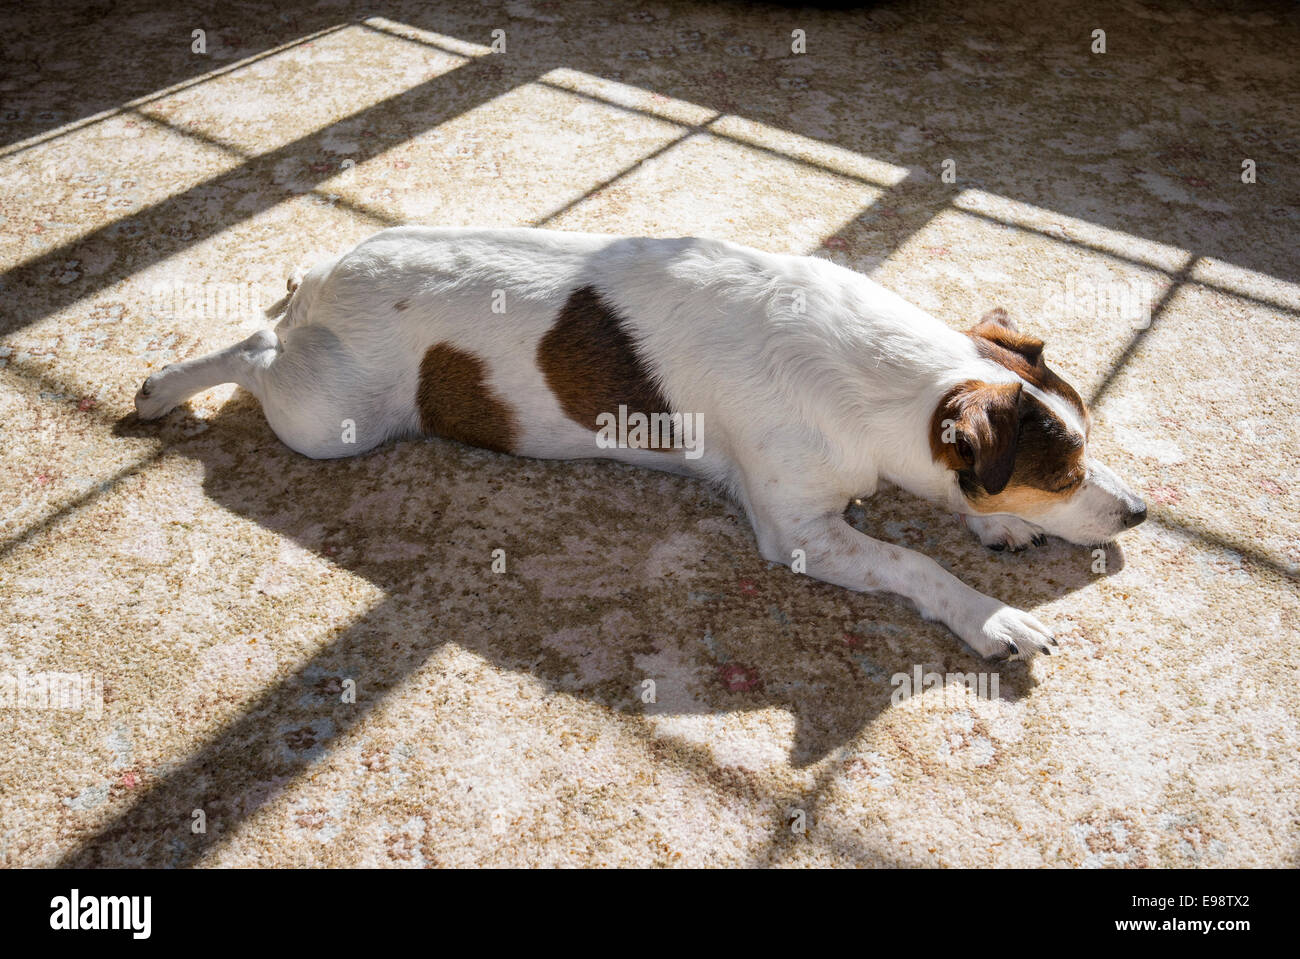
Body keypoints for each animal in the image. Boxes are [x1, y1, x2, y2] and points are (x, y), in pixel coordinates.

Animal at [134, 226, 1149, 657]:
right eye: (1066, 472)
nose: (1141, 511)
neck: (883, 376)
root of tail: (323, 273)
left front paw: (997, 526)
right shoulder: (800, 535)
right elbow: (914, 561)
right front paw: (990, 615)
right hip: (325, 418)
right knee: (251, 351)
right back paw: (160, 389)